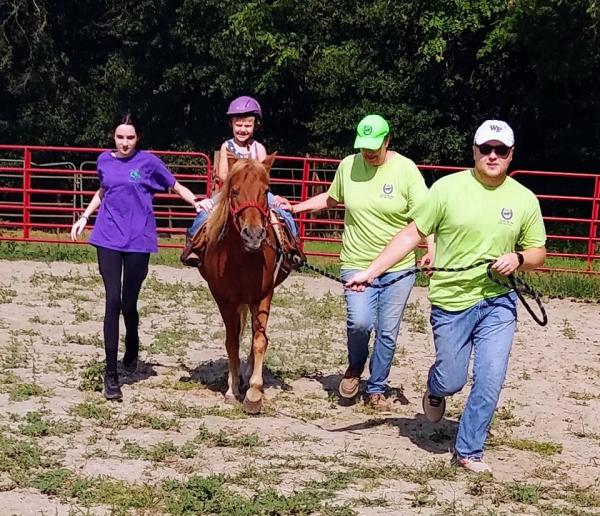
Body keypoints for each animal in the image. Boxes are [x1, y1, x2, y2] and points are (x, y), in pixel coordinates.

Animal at [198, 154, 290, 416]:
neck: (243, 258)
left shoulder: (264, 295)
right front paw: (232, 389)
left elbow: (260, 340)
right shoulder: (225, 300)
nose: (254, 236)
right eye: (234, 190)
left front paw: (254, 392)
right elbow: (231, 342)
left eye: (266, 190)